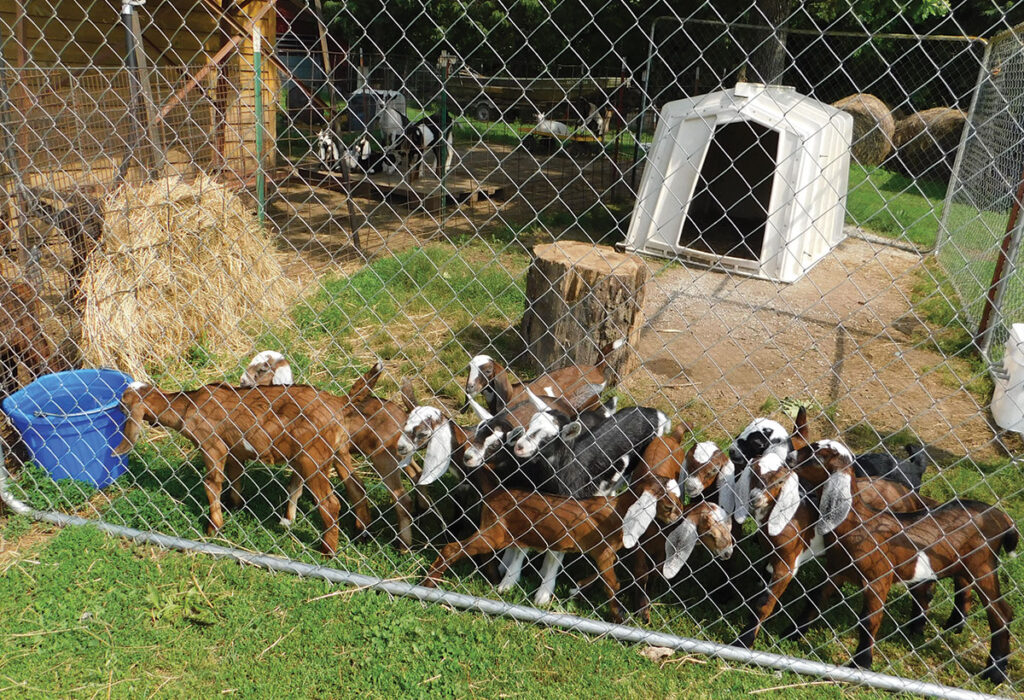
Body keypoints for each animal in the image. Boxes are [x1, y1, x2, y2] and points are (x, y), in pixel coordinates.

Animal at [111, 382, 360, 556]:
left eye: (123, 401)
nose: (115, 406)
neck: (189, 405)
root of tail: (337, 407)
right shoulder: (234, 452)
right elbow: (235, 480)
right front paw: (235, 506)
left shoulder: (212, 445)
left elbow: (211, 485)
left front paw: (213, 529)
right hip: (331, 453)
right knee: (354, 488)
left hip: (314, 458)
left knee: (331, 504)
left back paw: (327, 551)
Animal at [423, 462, 688, 622]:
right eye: (667, 505)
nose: (679, 514)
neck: (618, 511)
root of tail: (495, 494)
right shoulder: (603, 552)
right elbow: (613, 584)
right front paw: (618, 617)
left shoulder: (604, 553)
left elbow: (603, 578)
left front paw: (576, 588)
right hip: (495, 533)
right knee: (453, 548)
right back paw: (429, 583)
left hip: (496, 531)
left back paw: (493, 579)